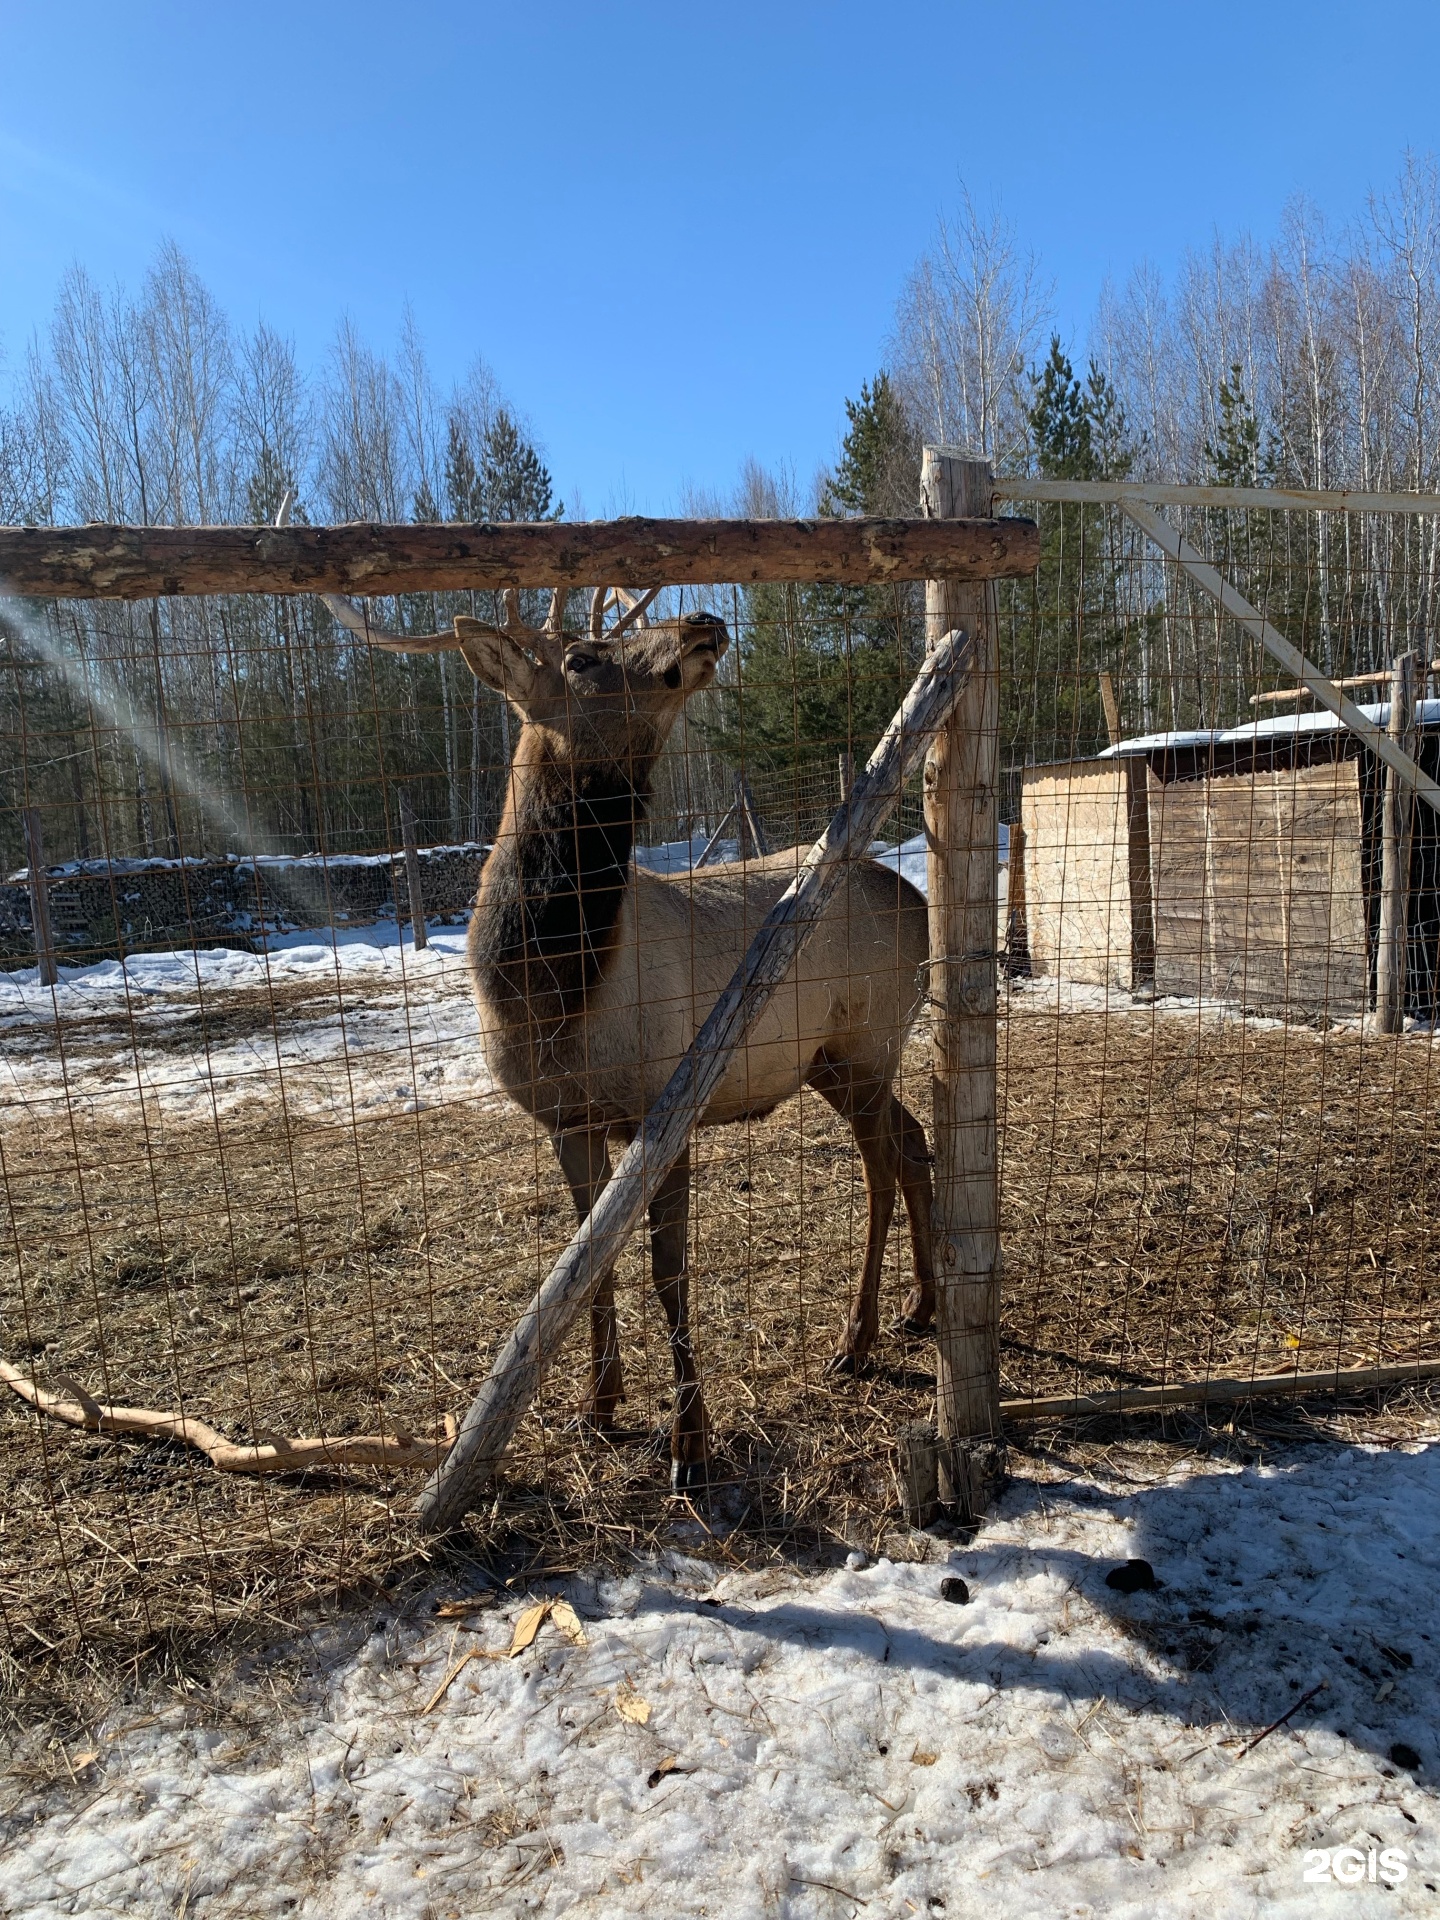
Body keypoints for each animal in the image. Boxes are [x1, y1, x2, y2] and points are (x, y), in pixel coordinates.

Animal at [320, 583, 940, 1497]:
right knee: (916, 1136)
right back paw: (921, 1305)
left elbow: (667, 1270)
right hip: (834, 1061)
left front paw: (690, 1441)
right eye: (582, 658)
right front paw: (599, 1406)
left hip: (865, 1040)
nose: (702, 621)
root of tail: (921, 902)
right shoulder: (566, 1120)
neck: (551, 992)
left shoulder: (665, 1109)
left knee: (884, 1164)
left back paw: (854, 1340)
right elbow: (591, 1264)